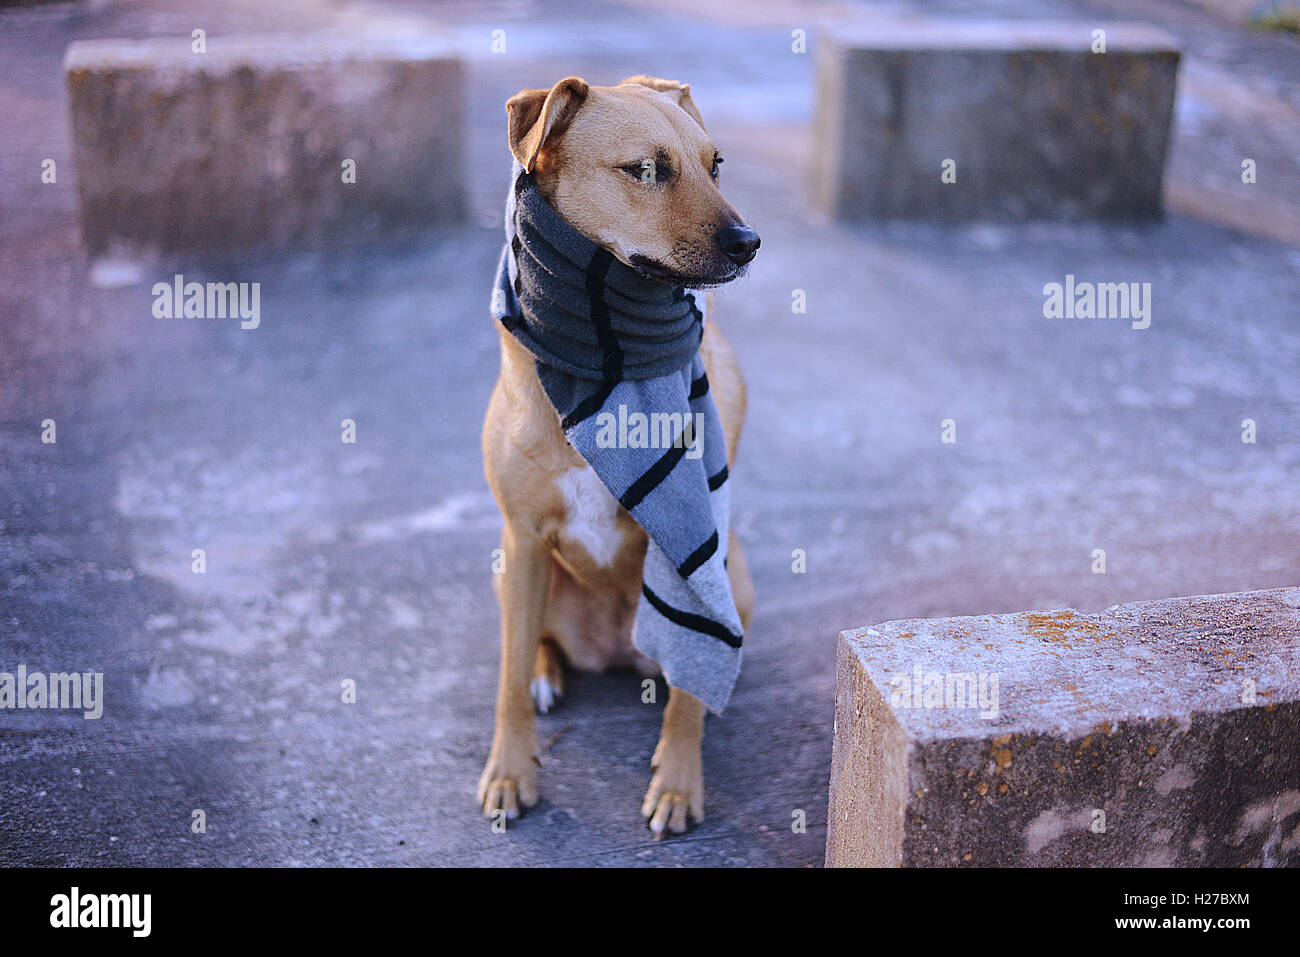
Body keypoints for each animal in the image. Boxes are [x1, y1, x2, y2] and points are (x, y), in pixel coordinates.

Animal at [478, 76, 759, 837]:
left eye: (716, 165)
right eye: (645, 170)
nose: (749, 242)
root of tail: (607, 648)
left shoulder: (702, 545)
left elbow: (690, 684)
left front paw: (679, 783)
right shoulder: (522, 536)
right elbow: (506, 677)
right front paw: (509, 773)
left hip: (741, 578)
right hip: (513, 572)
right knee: (531, 641)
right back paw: (547, 669)